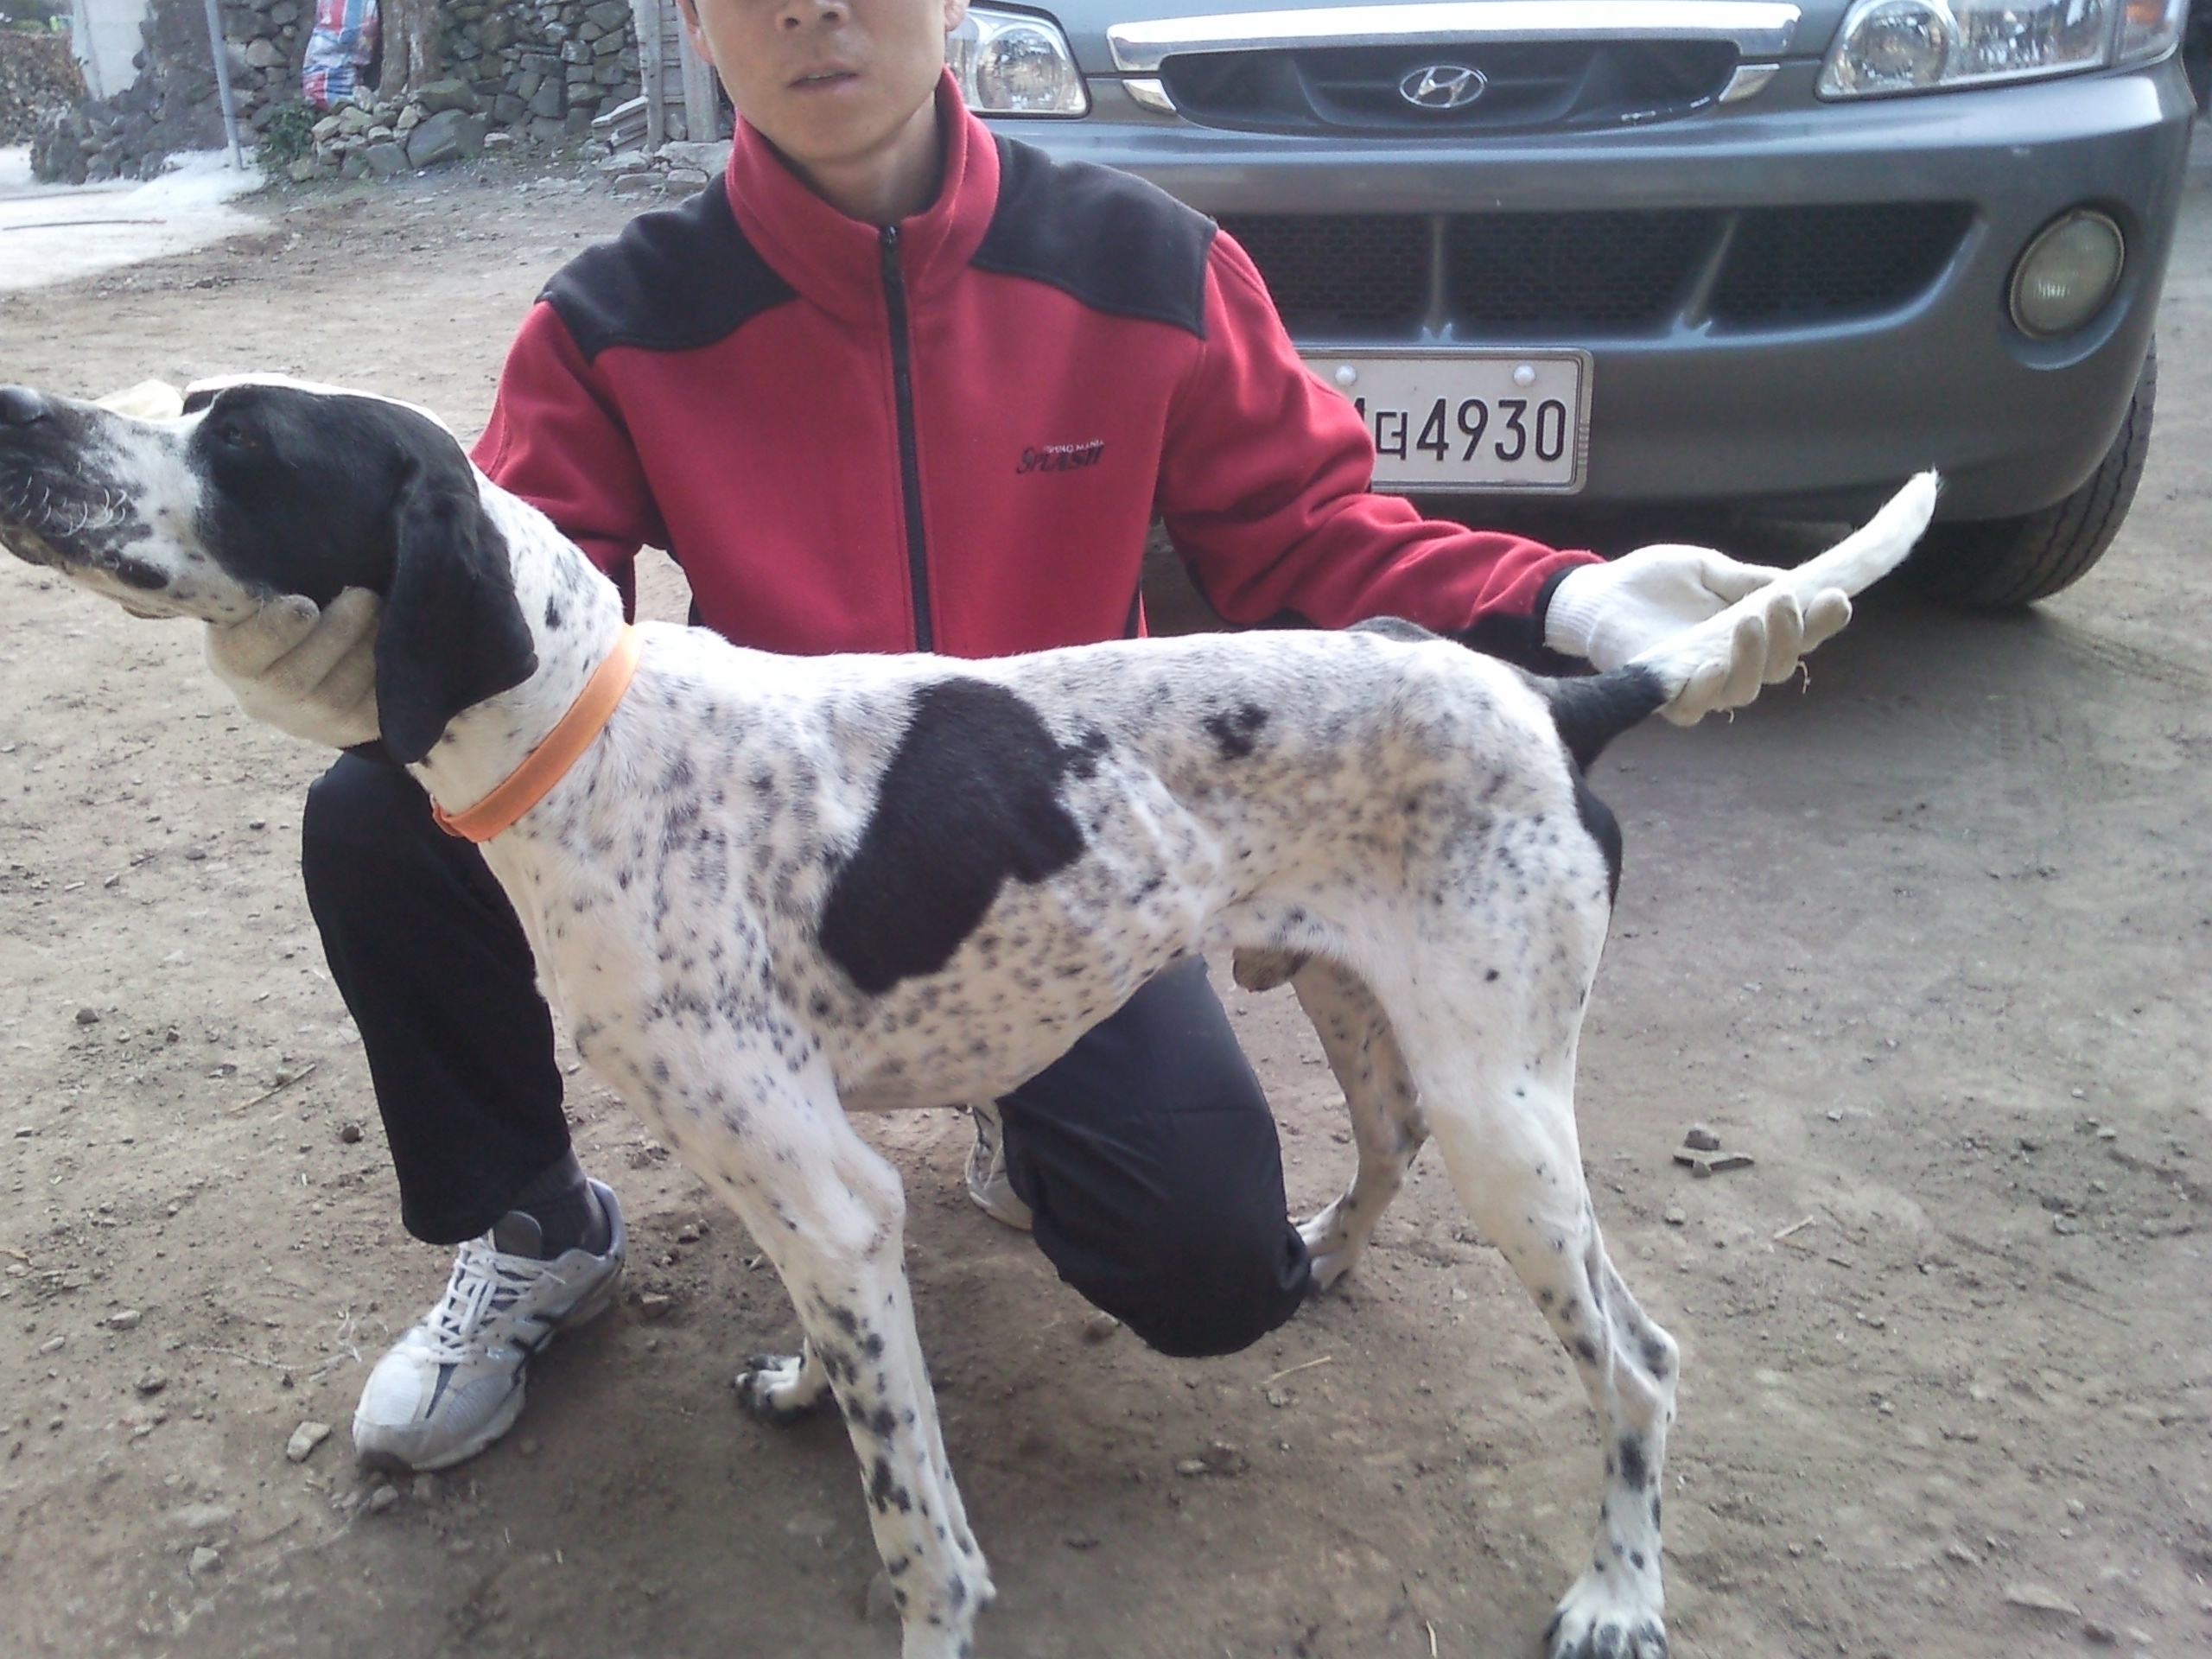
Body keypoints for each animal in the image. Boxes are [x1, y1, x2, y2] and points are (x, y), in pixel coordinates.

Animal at [0, 375, 1937, 1659]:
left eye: (243, 445)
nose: (20, 410)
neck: (589, 734)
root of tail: (1554, 694)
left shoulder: (830, 1190)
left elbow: (912, 1516)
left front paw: (922, 1600)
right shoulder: (798, 1186)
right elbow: (840, 1358)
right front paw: (800, 1379)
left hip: (1505, 1116)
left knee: (1641, 1362)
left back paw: (1617, 1590)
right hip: (1368, 1014)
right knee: (1381, 1156)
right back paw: (1319, 1251)